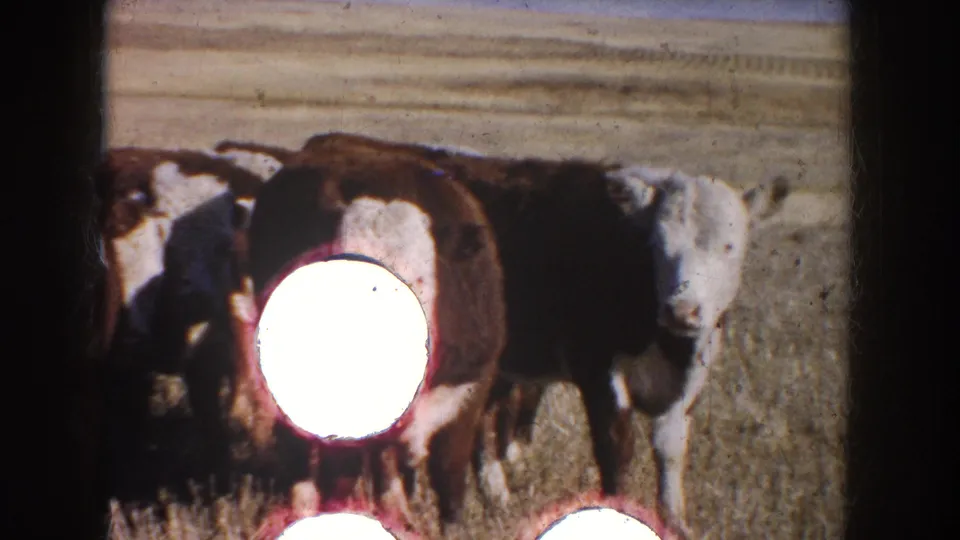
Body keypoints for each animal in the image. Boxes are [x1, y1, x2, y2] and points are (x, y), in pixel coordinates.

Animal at [297, 132, 791, 538]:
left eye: (729, 246)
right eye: (658, 244)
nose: (682, 309)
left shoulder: (688, 380)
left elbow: (670, 454)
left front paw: (675, 522)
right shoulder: (599, 374)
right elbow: (616, 451)